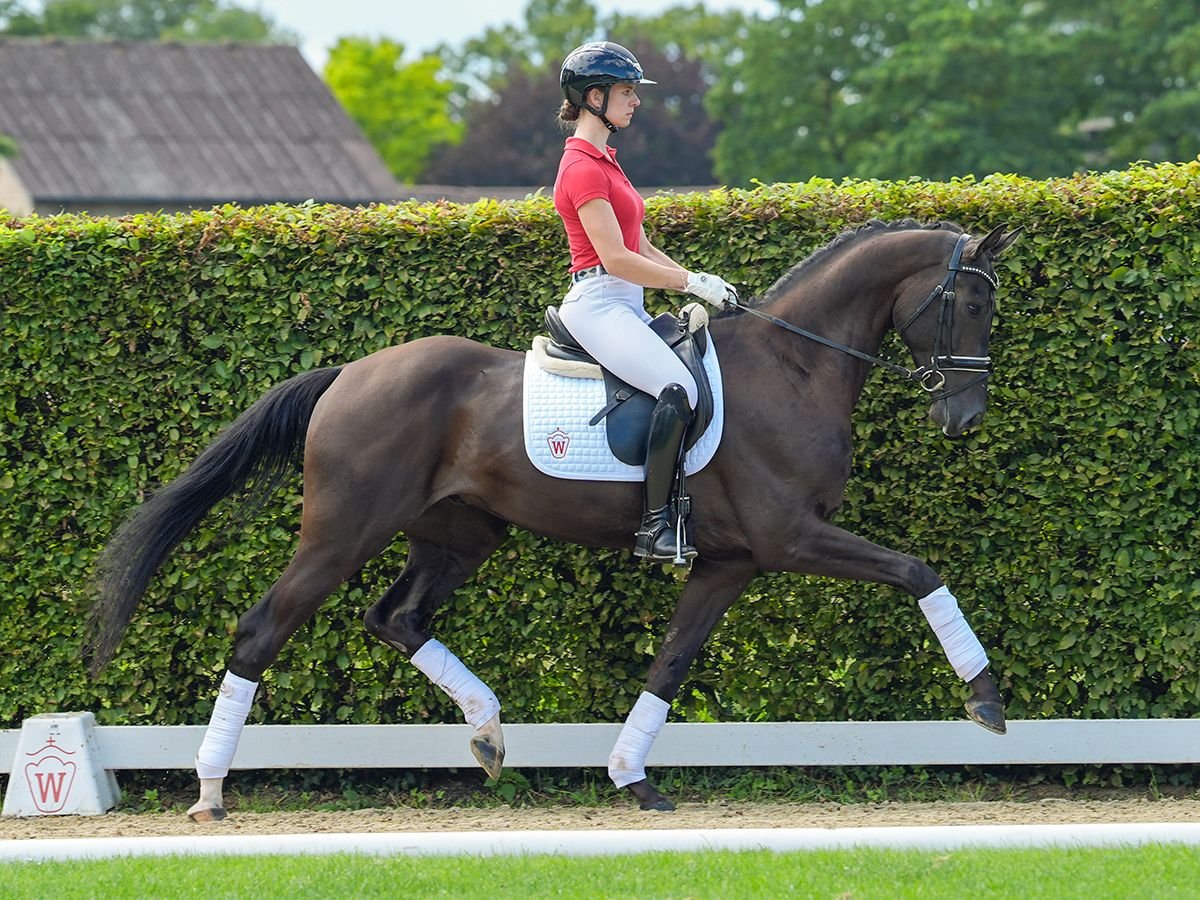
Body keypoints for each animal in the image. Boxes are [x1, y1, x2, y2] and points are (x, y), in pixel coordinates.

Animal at [84, 220, 1022, 825]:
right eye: (973, 306)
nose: (965, 419)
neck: (795, 364)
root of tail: (349, 372)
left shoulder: (730, 562)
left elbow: (670, 664)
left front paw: (631, 778)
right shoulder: (788, 539)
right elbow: (919, 570)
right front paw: (985, 699)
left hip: (461, 533)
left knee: (395, 617)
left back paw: (491, 734)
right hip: (343, 532)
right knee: (262, 631)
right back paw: (210, 791)